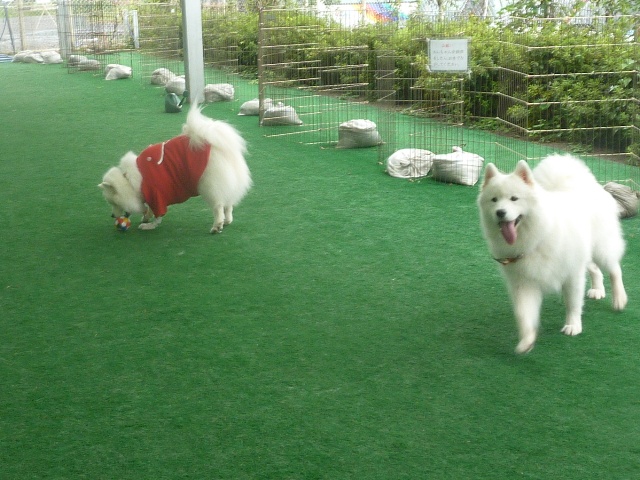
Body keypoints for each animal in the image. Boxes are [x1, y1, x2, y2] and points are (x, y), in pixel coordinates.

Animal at [99, 106, 251, 233]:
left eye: (113, 203)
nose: (112, 215)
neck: (130, 181)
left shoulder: (157, 195)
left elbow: (158, 214)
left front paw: (150, 225)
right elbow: (149, 209)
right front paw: (146, 218)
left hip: (209, 185)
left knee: (218, 205)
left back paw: (217, 225)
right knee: (229, 202)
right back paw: (227, 220)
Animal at [478, 154, 628, 352]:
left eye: (514, 199)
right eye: (494, 200)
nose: (500, 212)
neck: (537, 236)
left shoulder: (572, 273)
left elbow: (573, 303)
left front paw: (573, 326)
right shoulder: (524, 282)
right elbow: (524, 313)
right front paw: (527, 340)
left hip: (601, 248)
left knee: (614, 269)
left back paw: (619, 299)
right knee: (595, 269)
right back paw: (597, 290)